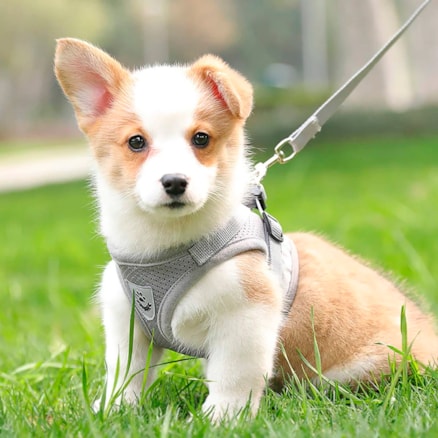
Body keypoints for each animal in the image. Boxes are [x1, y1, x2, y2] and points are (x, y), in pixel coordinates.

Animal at [55, 39, 438, 422]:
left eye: (201, 138)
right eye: (136, 142)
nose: (175, 182)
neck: (165, 249)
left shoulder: (244, 317)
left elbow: (233, 376)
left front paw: (218, 419)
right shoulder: (128, 324)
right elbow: (125, 374)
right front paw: (110, 410)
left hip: (360, 368)